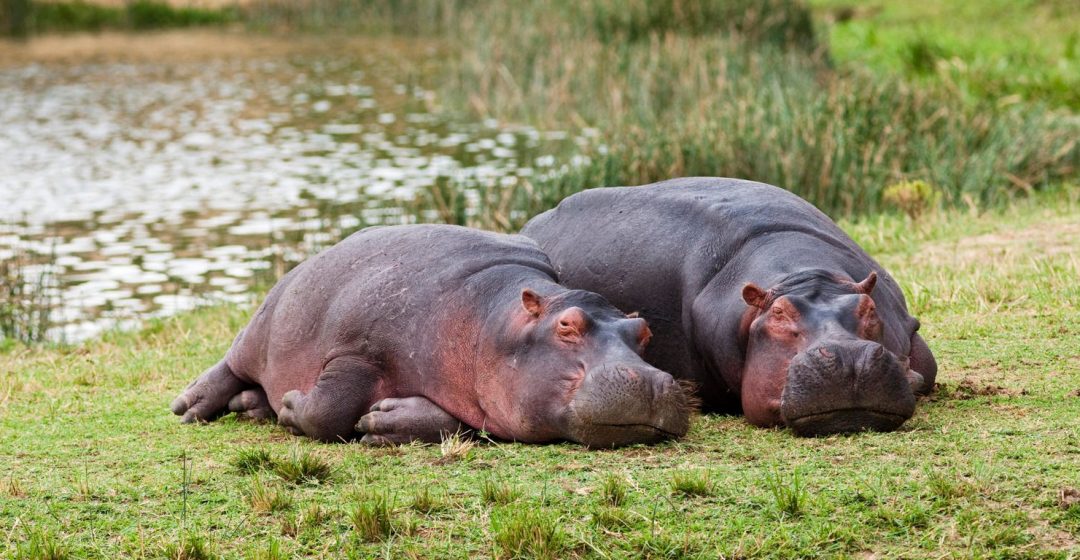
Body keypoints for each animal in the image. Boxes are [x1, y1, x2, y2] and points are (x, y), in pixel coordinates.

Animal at [168, 223, 691, 446]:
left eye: (642, 331)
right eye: (567, 325)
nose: (651, 381)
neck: (491, 319)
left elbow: (450, 423)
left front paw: (379, 423)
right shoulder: (354, 349)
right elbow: (327, 409)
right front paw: (294, 405)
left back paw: (250, 407)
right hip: (263, 324)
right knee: (230, 363)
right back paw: (190, 406)